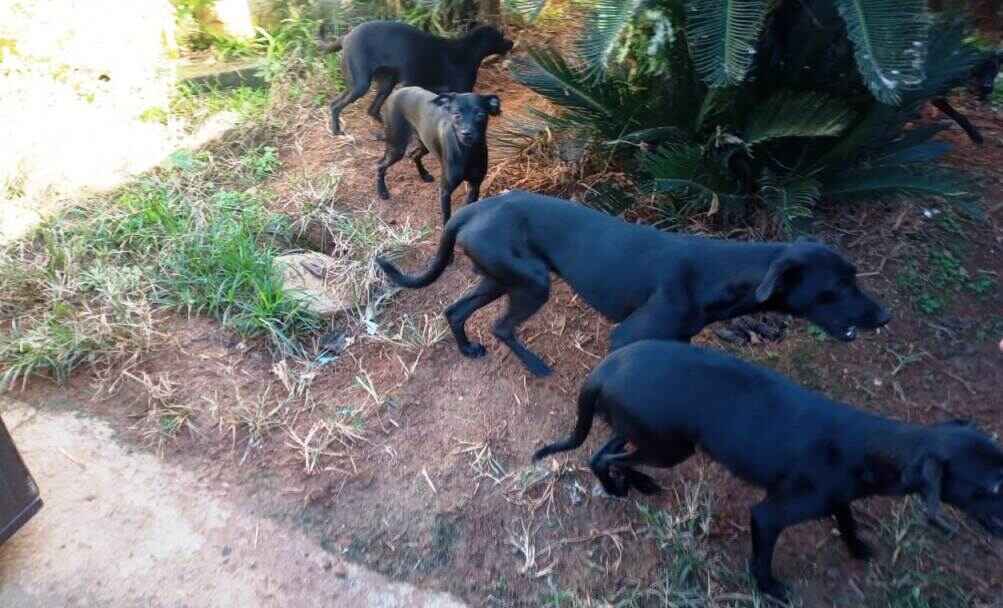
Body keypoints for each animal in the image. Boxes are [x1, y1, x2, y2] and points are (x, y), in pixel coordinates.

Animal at [324, 22, 513, 136]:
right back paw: (336, 130)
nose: (511, 43)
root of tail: (346, 37)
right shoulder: (461, 91)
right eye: (500, 36)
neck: (466, 52)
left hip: (385, 83)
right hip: (360, 84)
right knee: (335, 105)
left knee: (372, 110)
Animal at [375, 192, 886, 379]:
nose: (885, 315)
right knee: (501, 326)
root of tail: (470, 209)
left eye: (854, 275)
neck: (720, 270)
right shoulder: (627, 337)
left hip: (499, 278)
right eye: (837, 287)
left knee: (456, 311)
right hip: (530, 284)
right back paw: (536, 366)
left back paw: (468, 350)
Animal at [377, 86, 501, 224]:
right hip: (397, 147)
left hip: (425, 144)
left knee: (414, 155)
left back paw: (424, 175)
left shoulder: (475, 185)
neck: (467, 153)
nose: (466, 133)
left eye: (480, 115)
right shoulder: (445, 191)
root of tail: (398, 91)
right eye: (456, 115)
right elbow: (446, 216)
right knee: (380, 165)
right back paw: (382, 192)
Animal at [537, 341, 1003, 601]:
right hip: (670, 448)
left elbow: (848, 521)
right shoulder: (768, 516)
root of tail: (602, 369)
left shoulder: (836, 497)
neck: (868, 447)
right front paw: (771, 590)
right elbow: (763, 561)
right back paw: (622, 488)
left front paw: (858, 549)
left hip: (645, 435)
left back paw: (635, 484)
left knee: (601, 453)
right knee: (605, 459)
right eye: (992, 486)